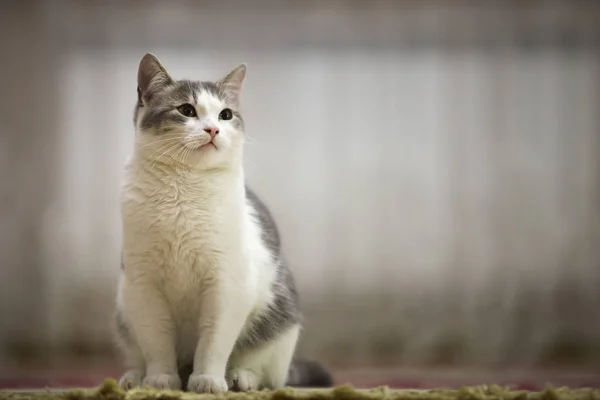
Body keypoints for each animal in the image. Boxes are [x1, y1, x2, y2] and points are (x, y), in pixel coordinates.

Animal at [113, 54, 332, 394]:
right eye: (186, 110)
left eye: (225, 114)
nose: (213, 129)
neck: (184, 190)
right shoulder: (144, 285)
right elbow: (156, 341)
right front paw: (160, 379)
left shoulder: (226, 285)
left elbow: (214, 342)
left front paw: (208, 380)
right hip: (125, 309)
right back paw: (136, 377)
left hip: (279, 320)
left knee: (269, 374)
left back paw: (241, 379)